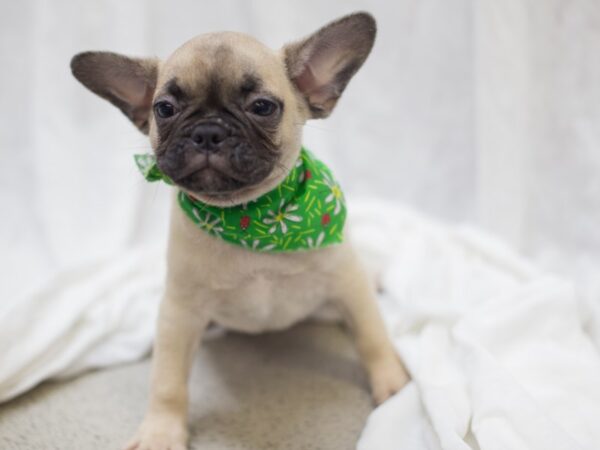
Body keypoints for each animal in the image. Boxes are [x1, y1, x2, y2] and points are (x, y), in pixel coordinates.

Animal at [70, 11, 408, 450]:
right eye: (164, 108)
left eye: (262, 106)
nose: (208, 131)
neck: (252, 218)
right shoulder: (179, 313)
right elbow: (167, 380)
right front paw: (161, 431)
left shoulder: (347, 282)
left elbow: (371, 334)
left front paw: (392, 385)